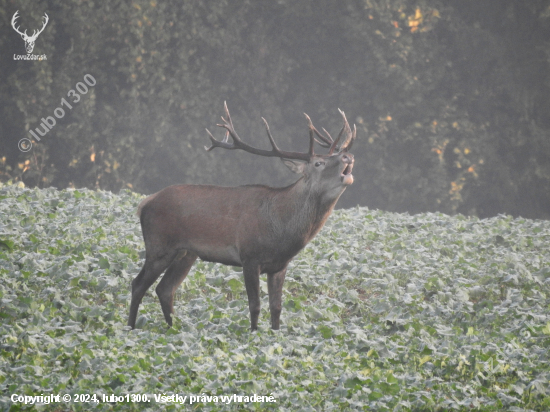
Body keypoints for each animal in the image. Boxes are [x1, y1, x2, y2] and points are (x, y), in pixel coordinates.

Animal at [129, 103, 358, 332]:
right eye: (319, 163)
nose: (348, 156)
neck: (281, 230)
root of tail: (145, 203)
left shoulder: (280, 265)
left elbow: (276, 308)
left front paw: (276, 334)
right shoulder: (249, 256)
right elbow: (254, 306)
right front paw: (253, 334)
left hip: (186, 253)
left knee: (165, 289)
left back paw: (174, 329)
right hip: (159, 246)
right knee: (138, 284)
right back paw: (130, 328)